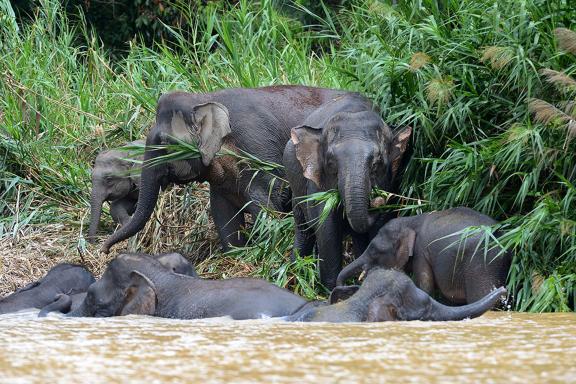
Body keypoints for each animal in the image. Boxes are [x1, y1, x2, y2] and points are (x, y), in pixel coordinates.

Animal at [100, 85, 352, 254]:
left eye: (164, 143)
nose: (105, 249)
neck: (205, 98)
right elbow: (223, 215)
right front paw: (238, 253)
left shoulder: (257, 149)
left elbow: (268, 205)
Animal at [282, 92, 410, 288]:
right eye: (331, 162)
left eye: (377, 163)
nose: (377, 199)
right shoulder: (318, 182)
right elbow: (326, 227)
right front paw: (330, 290)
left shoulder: (390, 180)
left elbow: (379, 226)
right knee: (305, 230)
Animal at [338, 207, 512, 306]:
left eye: (374, 250)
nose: (346, 288)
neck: (410, 221)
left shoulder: (421, 252)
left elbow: (425, 286)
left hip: (480, 265)